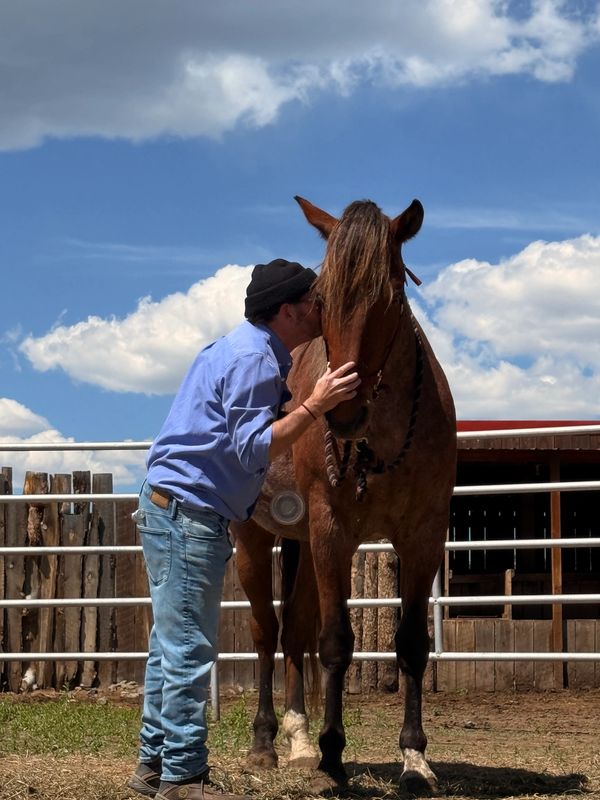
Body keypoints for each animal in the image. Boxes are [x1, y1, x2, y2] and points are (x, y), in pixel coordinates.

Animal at [231, 196, 457, 794]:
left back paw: (299, 739)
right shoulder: (333, 531)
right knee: (265, 632)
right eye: (323, 298)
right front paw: (334, 757)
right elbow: (335, 642)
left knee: (293, 632)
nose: (343, 411)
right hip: (254, 539)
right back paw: (266, 743)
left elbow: (411, 643)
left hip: (306, 545)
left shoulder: (422, 536)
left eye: (391, 293)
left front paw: (414, 758)